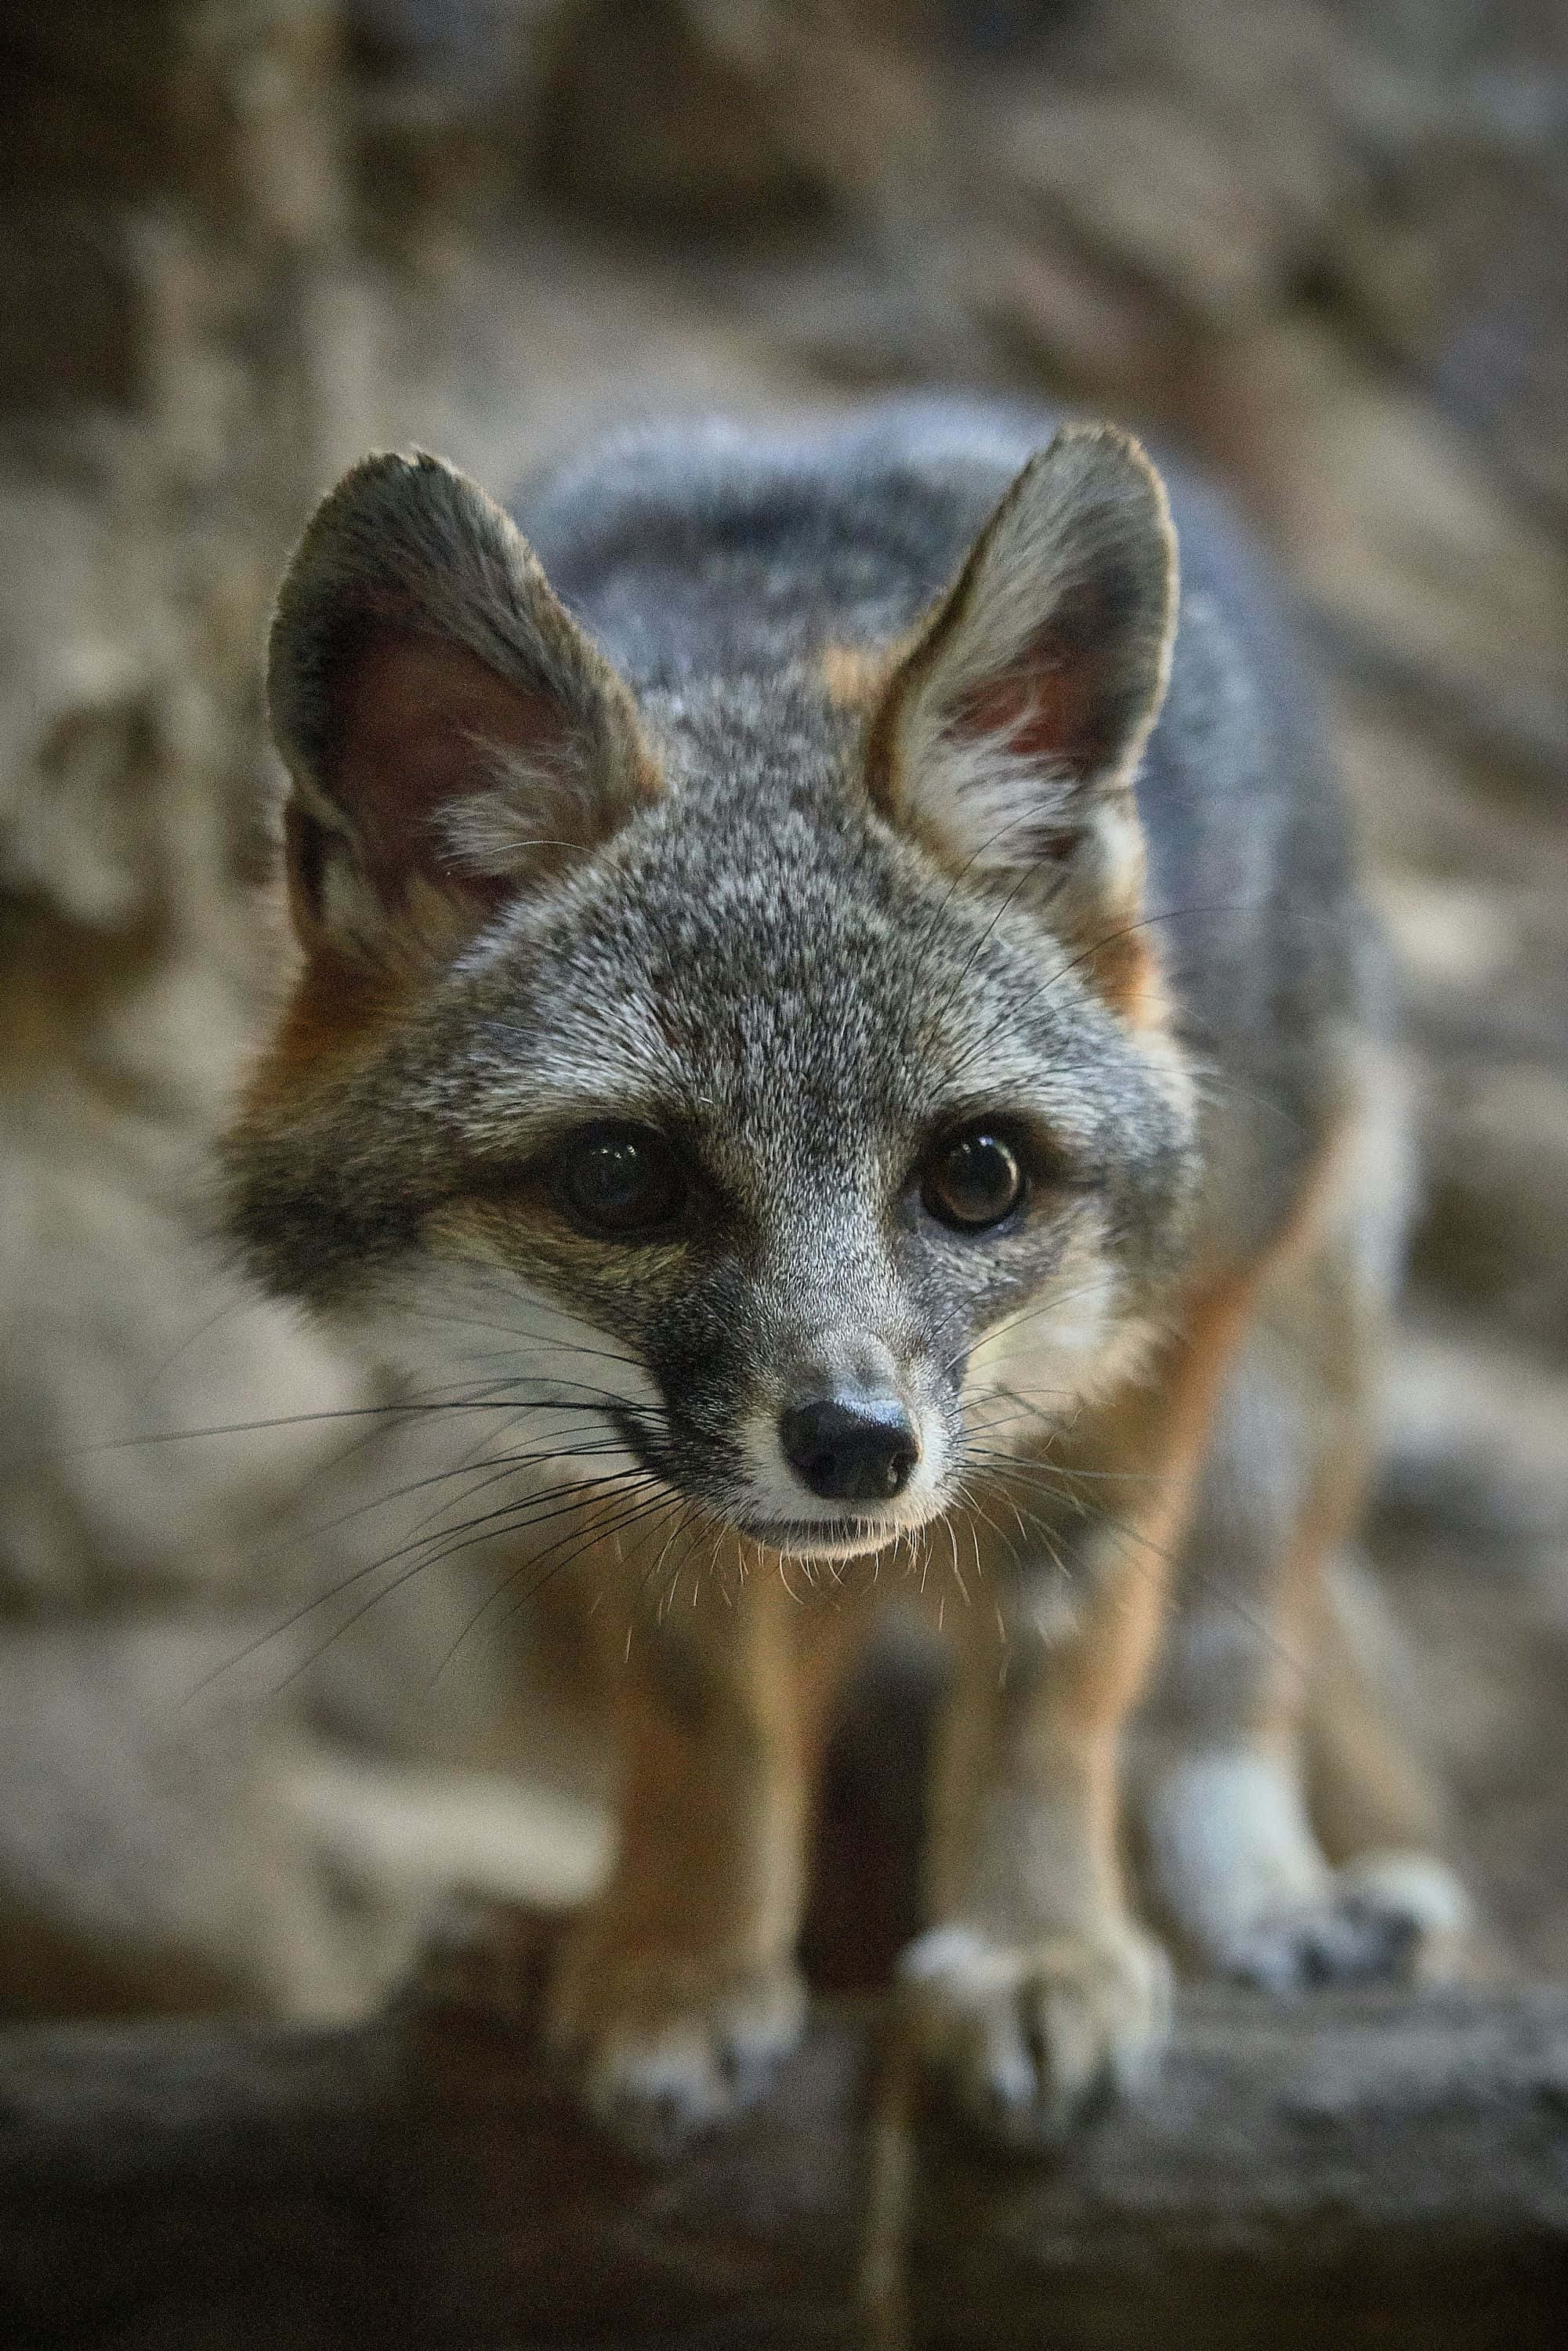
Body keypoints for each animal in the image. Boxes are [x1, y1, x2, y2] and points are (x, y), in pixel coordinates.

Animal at [223, 398, 1473, 2151]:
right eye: (621, 1178)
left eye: (977, 1175)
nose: (860, 1448)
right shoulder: (640, 1484)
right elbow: (710, 1729)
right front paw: (675, 1963)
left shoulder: (1156, 1347)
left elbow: (1060, 1684)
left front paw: (1031, 1945)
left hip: (1292, 1367)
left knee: (1221, 1680)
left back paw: (1270, 1906)